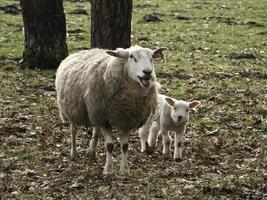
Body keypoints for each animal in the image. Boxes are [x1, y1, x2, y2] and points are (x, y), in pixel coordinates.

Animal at [55, 45, 166, 175]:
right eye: (131, 57)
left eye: (152, 57)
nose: (147, 72)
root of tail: (79, 52)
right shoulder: (104, 120)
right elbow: (109, 146)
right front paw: (108, 170)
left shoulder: (126, 120)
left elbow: (125, 146)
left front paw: (124, 170)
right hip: (73, 110)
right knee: (73, 130)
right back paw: (74, 153)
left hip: (95, 113)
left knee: (96, 131)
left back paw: (92, 153)